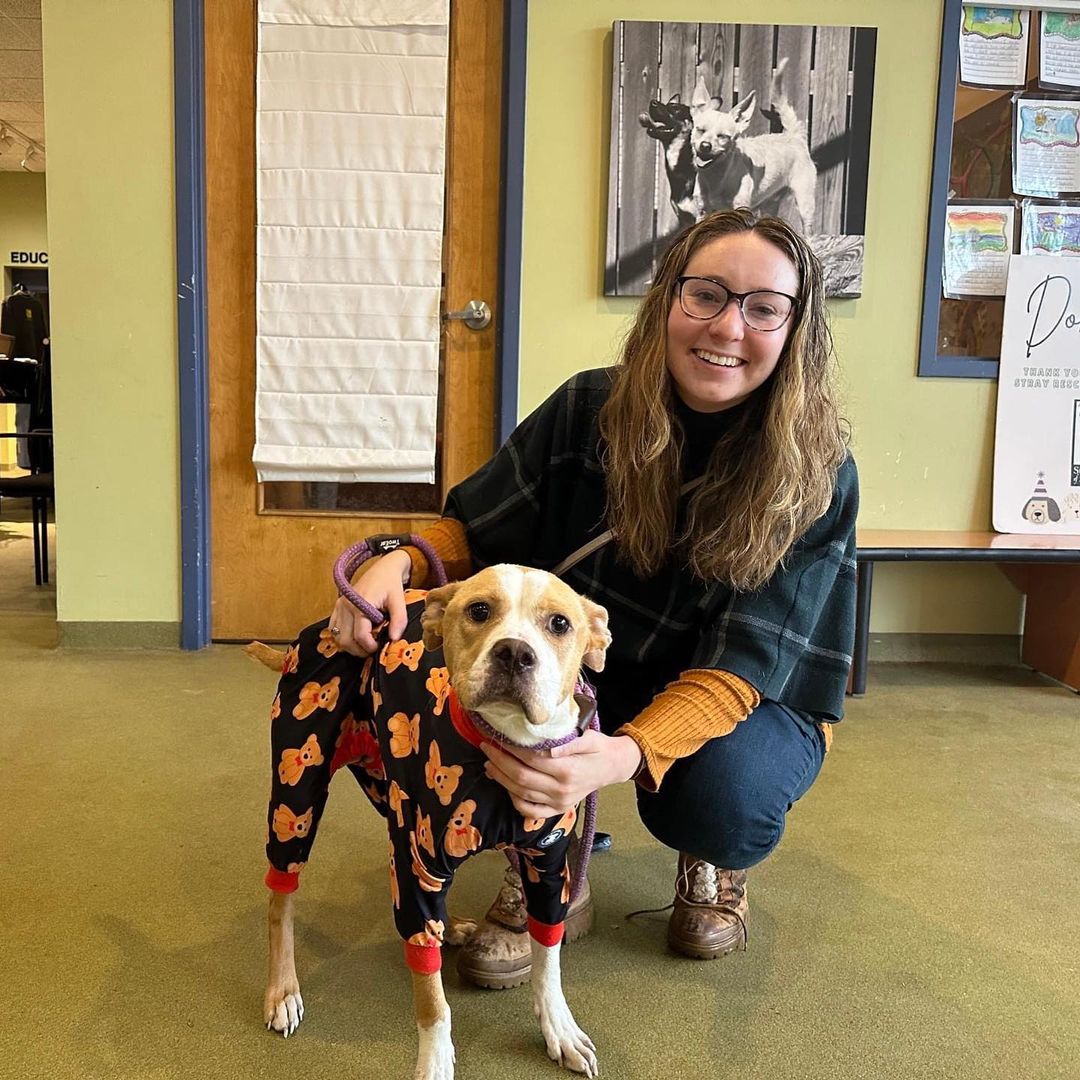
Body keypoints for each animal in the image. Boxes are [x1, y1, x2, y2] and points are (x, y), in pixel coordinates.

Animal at [249, 565, 613, 1080]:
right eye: (479, 610)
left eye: (559, 624)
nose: (515, 652)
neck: (502, 745)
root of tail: (320, 627)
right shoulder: (418, 865)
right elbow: (433, 1000)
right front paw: (435, 1061)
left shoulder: (547, 865)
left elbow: (549, 958)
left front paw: (559, 1028)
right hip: (297, 790)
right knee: (282, 895)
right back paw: (282, 988)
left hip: (387, 792)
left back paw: (452, 927)